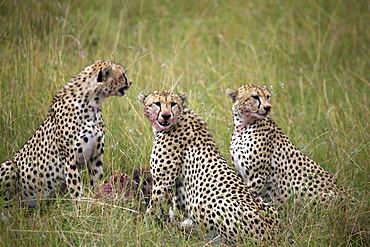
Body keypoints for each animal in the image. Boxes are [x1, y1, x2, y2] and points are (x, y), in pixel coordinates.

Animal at [0, 59, 133, 206]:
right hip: (9, 165)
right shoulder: (69, 159)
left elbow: (97, 181)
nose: (131, 82)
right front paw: (81, 209)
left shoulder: (96, 155)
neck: (91, 103)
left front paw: (99, 203)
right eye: (122, 75)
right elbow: (76, 189)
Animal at [138, 90, 278, 243]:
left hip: (219, 203)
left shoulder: (163, 182)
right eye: (157, 103)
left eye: (173, 104)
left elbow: (153, 208)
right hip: (270, 208)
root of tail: (273, 234)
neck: (177, 119)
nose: (166, 115)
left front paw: (144, 229)